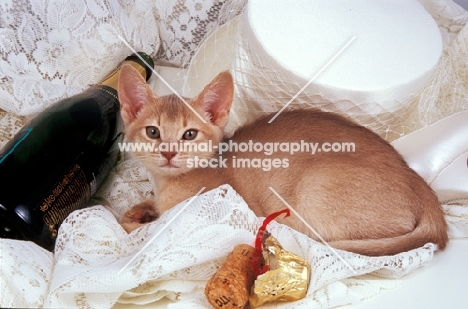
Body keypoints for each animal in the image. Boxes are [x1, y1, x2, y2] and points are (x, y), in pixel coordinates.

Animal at [116, 63, 446, 255]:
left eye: (189, 134)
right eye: (153, 131)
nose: (169, 152)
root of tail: (420, 185)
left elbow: (138, 231)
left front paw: (137, 221)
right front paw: (140, 209)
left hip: (314, 190)